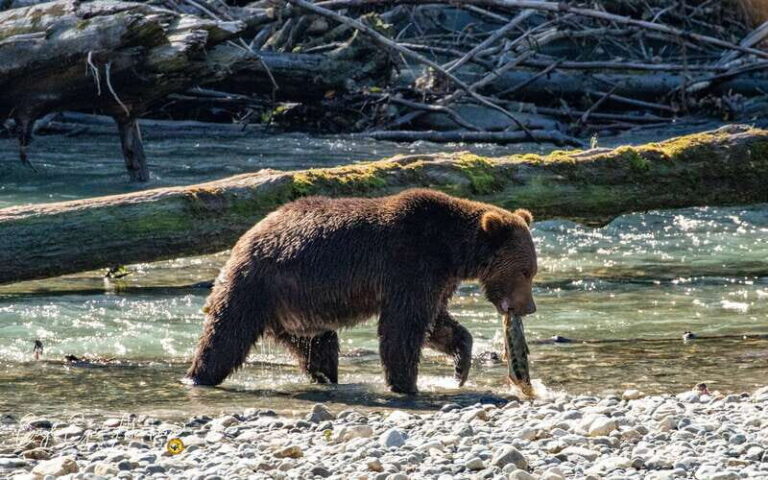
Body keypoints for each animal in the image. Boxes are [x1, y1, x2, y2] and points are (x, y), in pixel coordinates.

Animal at [185, 188, 537, 394]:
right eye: (525, 272)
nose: (530, 307)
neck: (453, 250)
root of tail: (246, 237)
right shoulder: (410, 261)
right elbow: (403, 326)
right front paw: (406, 383)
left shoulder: (438, 278)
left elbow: (437, 322)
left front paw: (461, 365)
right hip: (257, 286)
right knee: (225, 337)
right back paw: (197, 376)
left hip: (298, 312)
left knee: (319, 350)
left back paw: (327, 379)